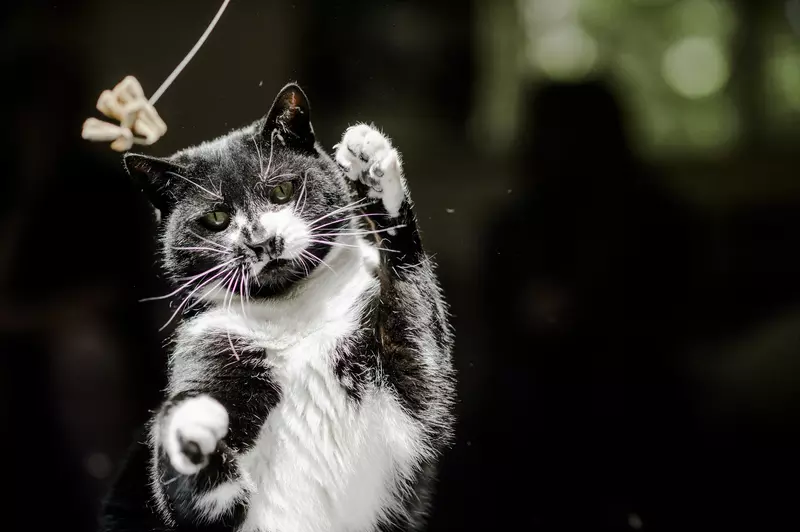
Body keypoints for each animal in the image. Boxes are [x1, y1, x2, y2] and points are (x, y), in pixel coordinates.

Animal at [101, 83, 456, 532]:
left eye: (281, 192)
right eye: (216, 218)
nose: (260, 241)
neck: (292, 316)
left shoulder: (412, 412)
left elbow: (421, 347)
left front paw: (371, 168)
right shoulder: (210, 347)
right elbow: (192, 501)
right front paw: (187, 423)